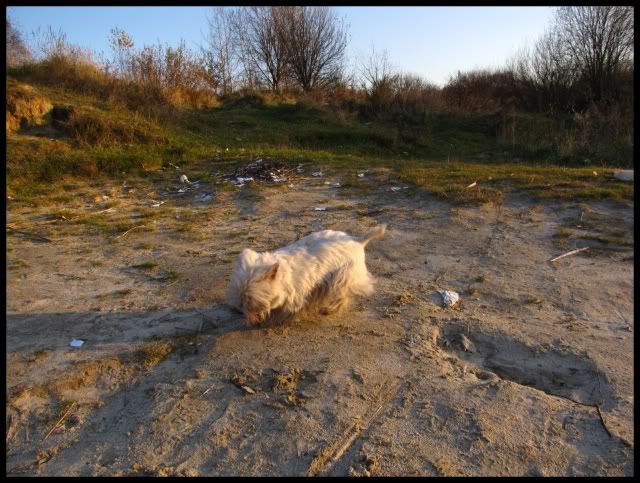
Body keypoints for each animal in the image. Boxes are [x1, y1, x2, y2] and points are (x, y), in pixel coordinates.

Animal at [226, 224, 387, 326]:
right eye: (240, 299)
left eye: (249, 299)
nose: (239, 311)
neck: (284, 276)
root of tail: (357, 240)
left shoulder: (297, 295)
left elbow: (287, 311)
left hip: (342, 277)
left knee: (343, 295)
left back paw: (329, 309)